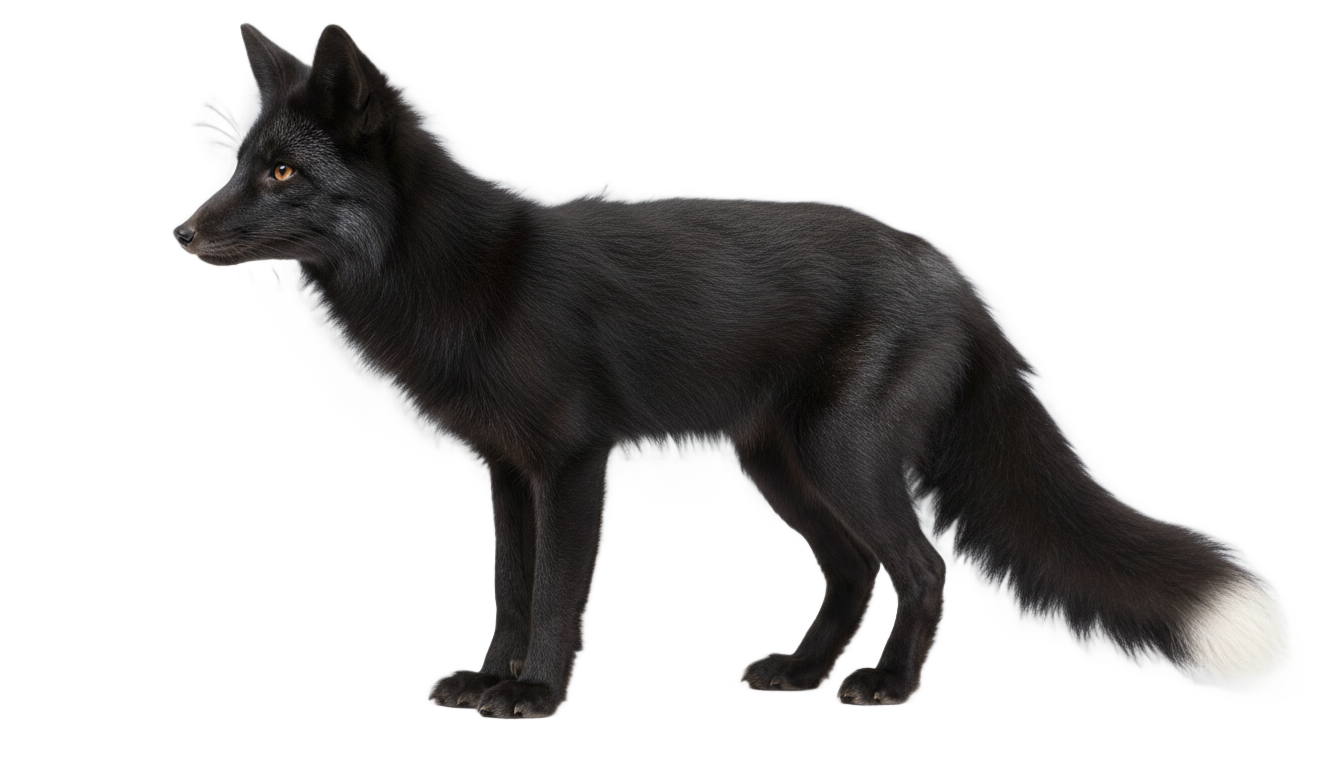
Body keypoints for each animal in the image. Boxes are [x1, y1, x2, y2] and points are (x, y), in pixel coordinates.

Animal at [174, 23, 1283, 716]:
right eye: (239, 162)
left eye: (282, 171)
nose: (181, 233)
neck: (460, 277)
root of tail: (958, 281)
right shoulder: (505, 471)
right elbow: (507, 589)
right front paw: (488, 683)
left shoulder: (573, 463)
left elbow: (558, 594)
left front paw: (534, 694)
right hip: (778, 465)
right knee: (854, 568)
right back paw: (801, 669)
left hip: (840, 460)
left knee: (920, 566)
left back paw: (885, 687)